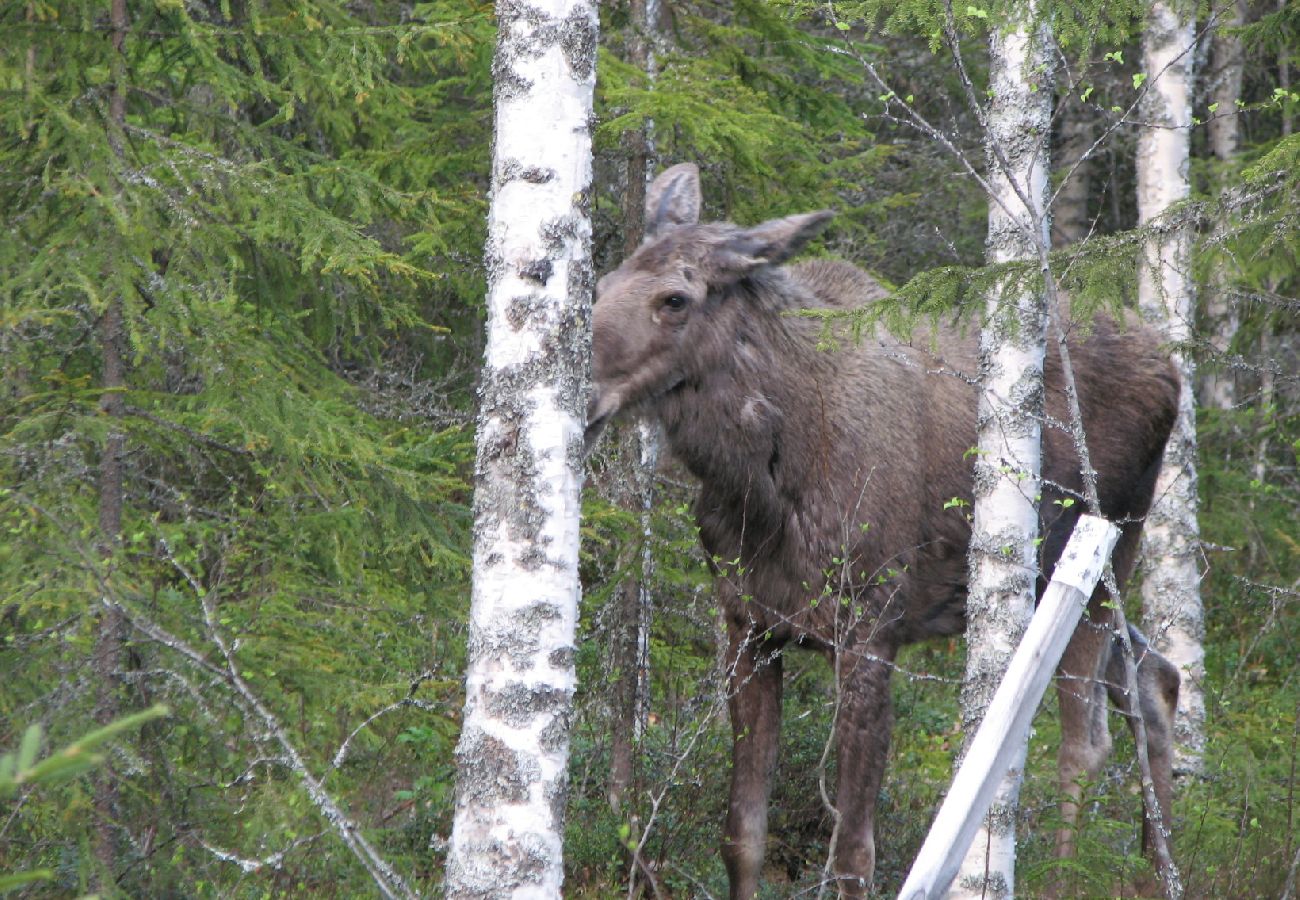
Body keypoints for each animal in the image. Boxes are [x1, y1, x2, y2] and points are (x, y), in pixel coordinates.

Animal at [585, 165, 1185, 894]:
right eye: (600, 285)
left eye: (674, 298)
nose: (581, 395)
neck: (760, 489)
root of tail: (1172, 368)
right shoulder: (747, 627)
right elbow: (742, 836)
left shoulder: (871, 631)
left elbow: (852, 854)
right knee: (1156, 679)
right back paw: (1162, 872)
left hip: (1101, 553)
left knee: (1084, 738)